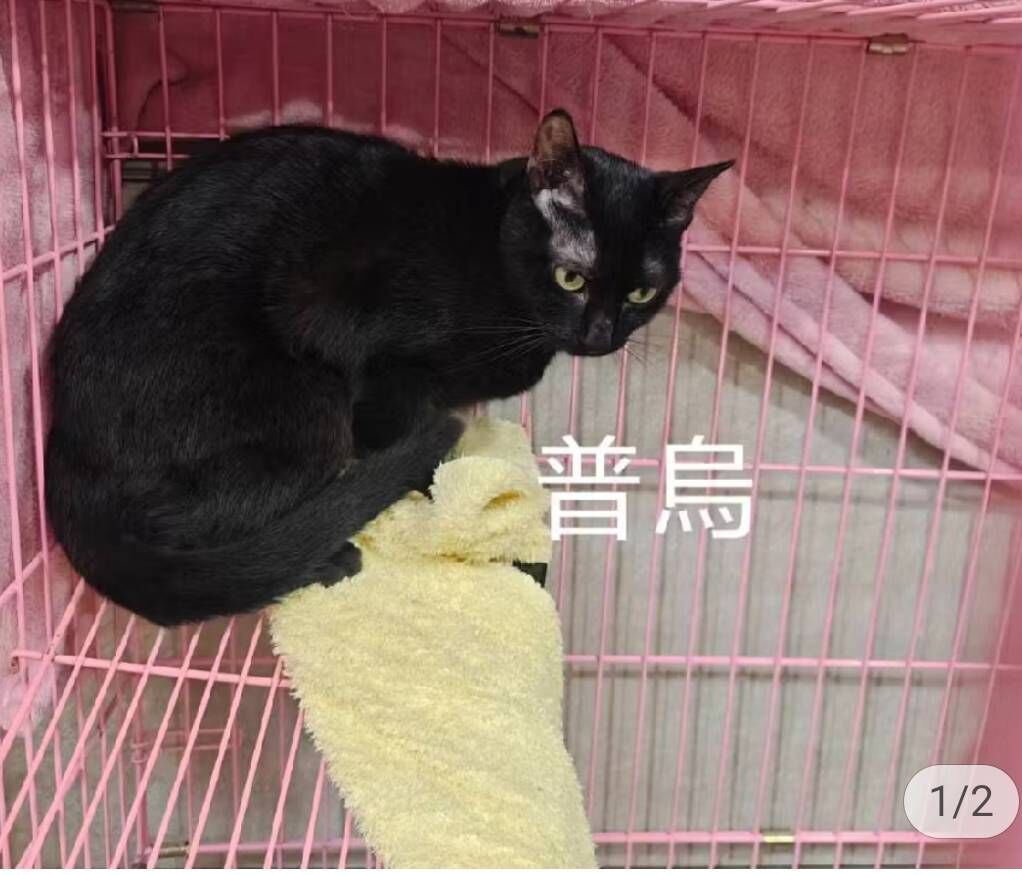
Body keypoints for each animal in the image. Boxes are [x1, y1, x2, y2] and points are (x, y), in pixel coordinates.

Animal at [44, 108, 731, 627]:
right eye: (572, 278)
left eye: (642, 293)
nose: (598, 336)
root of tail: (66, 457)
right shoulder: (355, 344)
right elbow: (423, 462)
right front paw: (493, 550)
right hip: (308, 404)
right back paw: (321, 555)